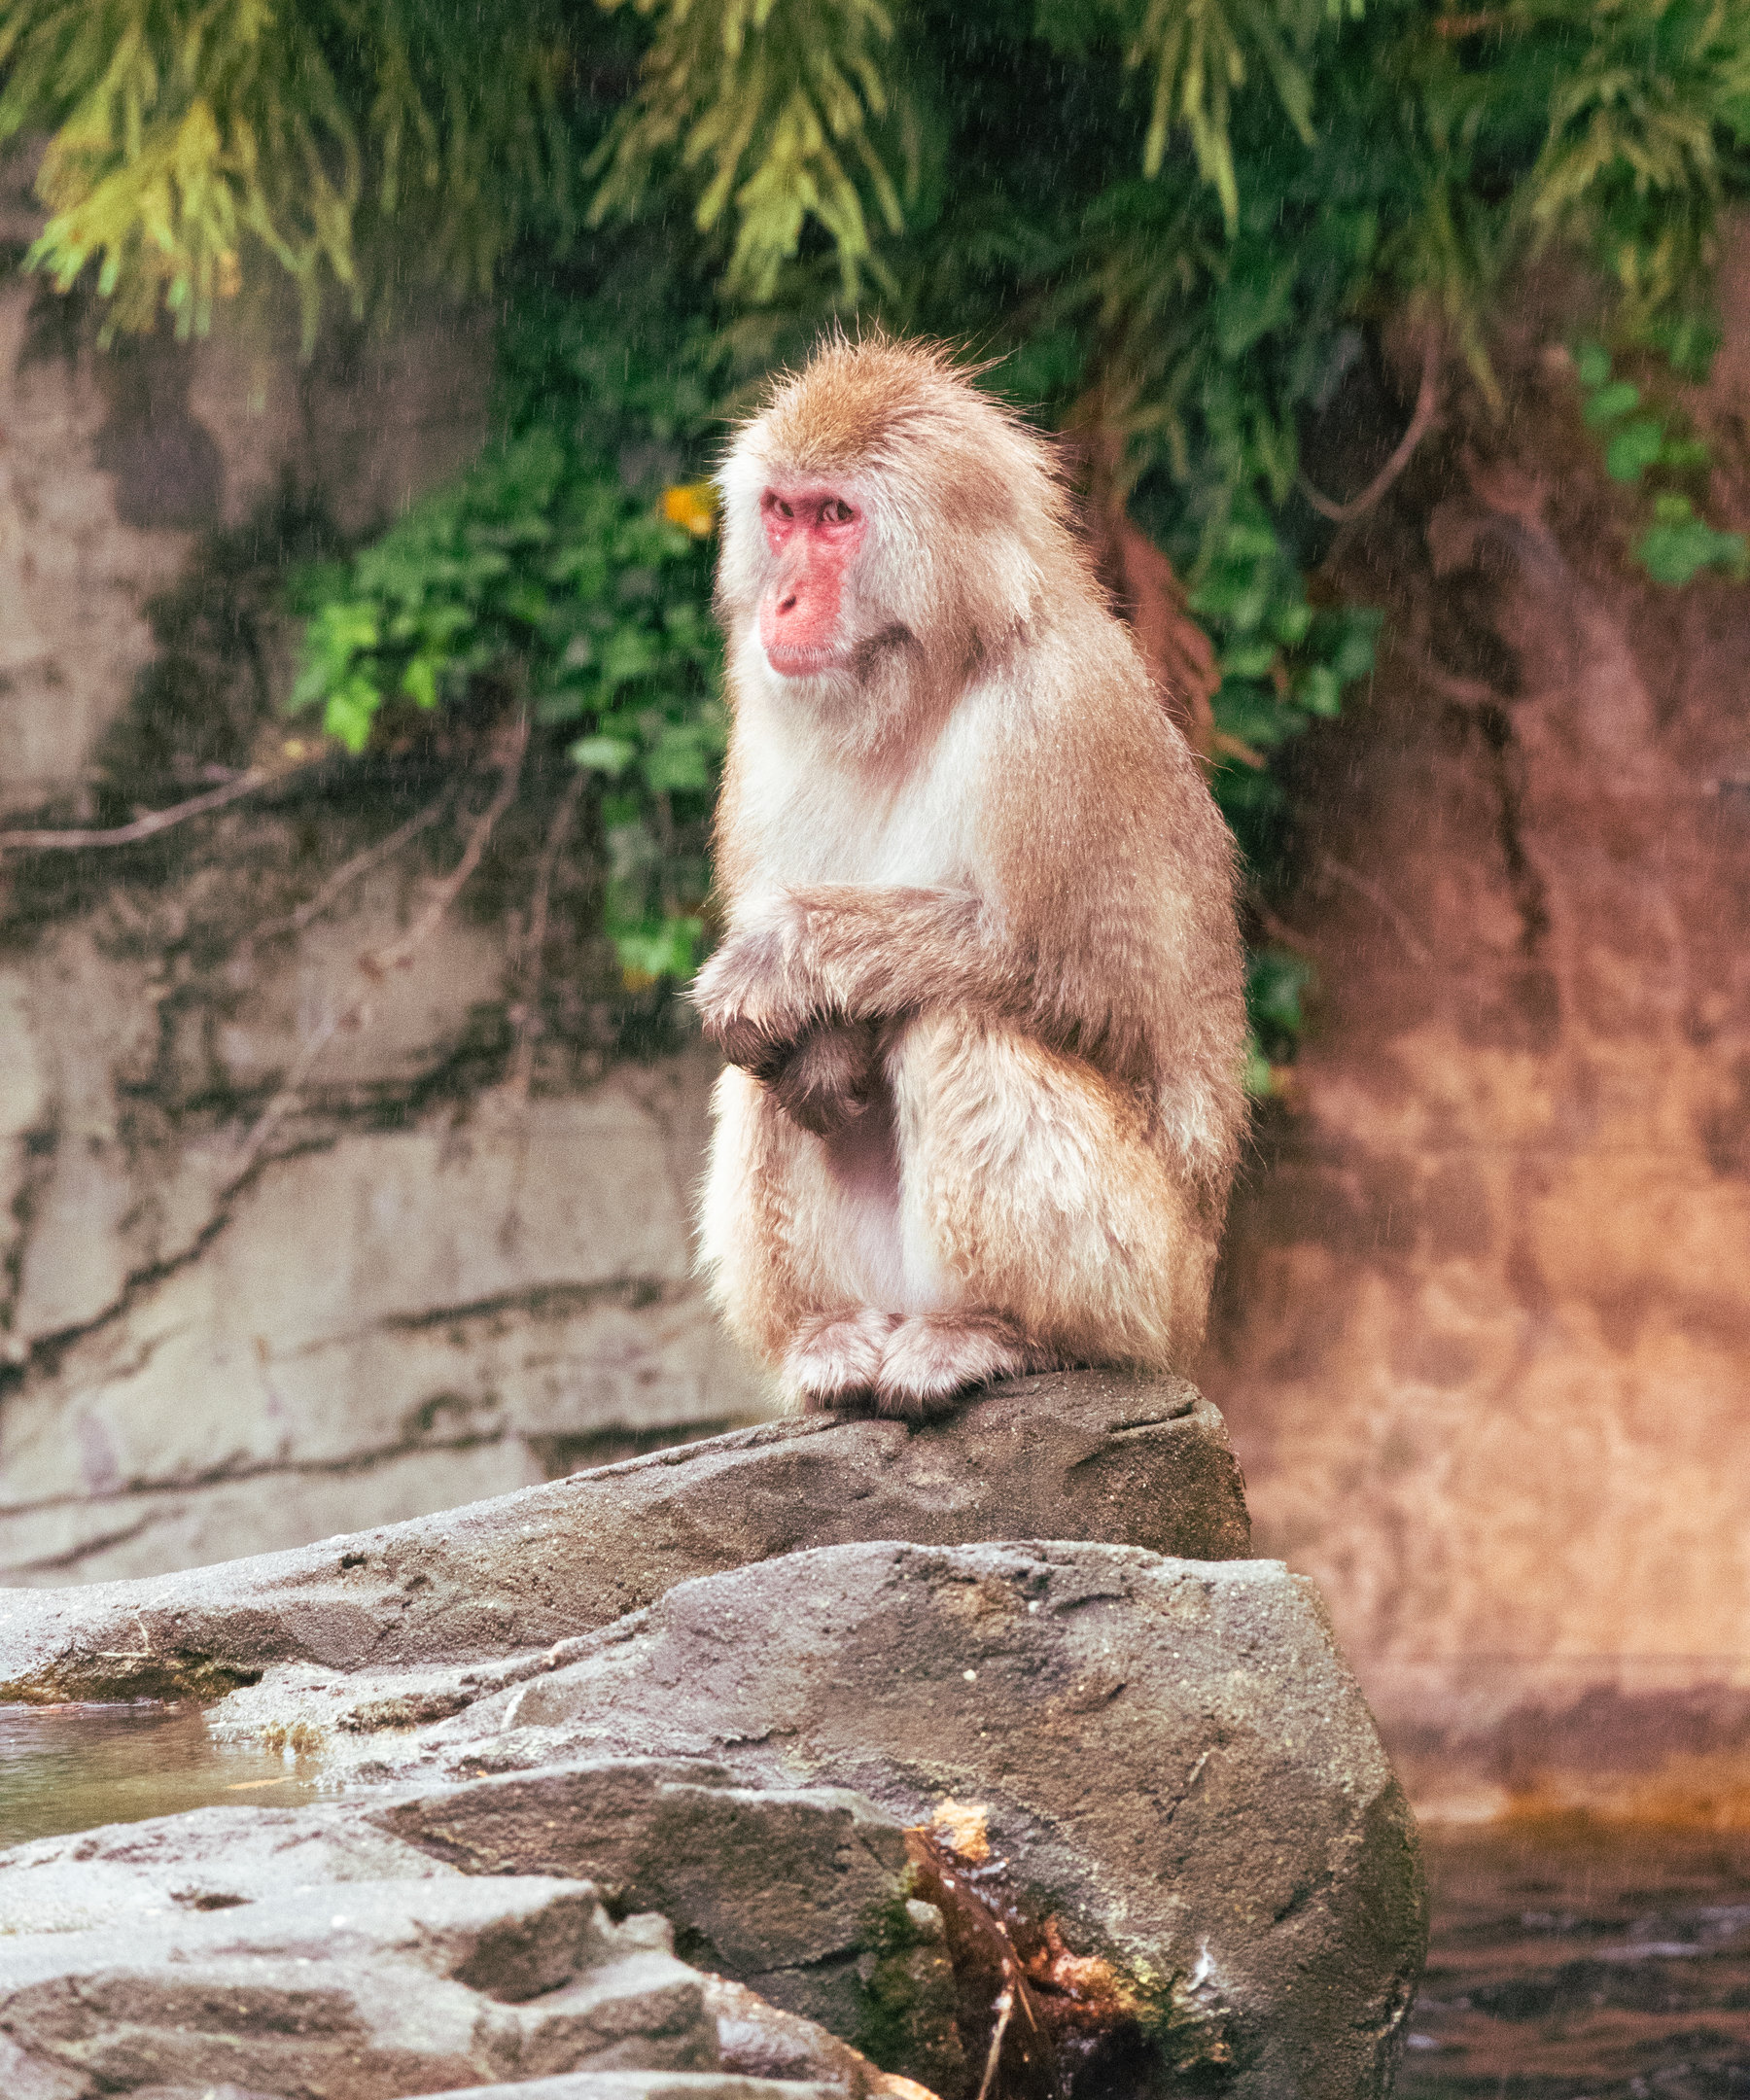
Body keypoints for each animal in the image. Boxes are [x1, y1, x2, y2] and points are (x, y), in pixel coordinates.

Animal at [691, 332, 1247, 1418]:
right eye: (782, 512)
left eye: (837, 518)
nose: (782, 597)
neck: (922, 679)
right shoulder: (763, 722)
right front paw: (817, 1039)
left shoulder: (1057, 722)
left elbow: (1083, 987)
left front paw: (791, 950)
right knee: (761, 1067)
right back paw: (828, 1337)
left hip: (1142, 1283)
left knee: (958, 1021)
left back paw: (992, 1331)